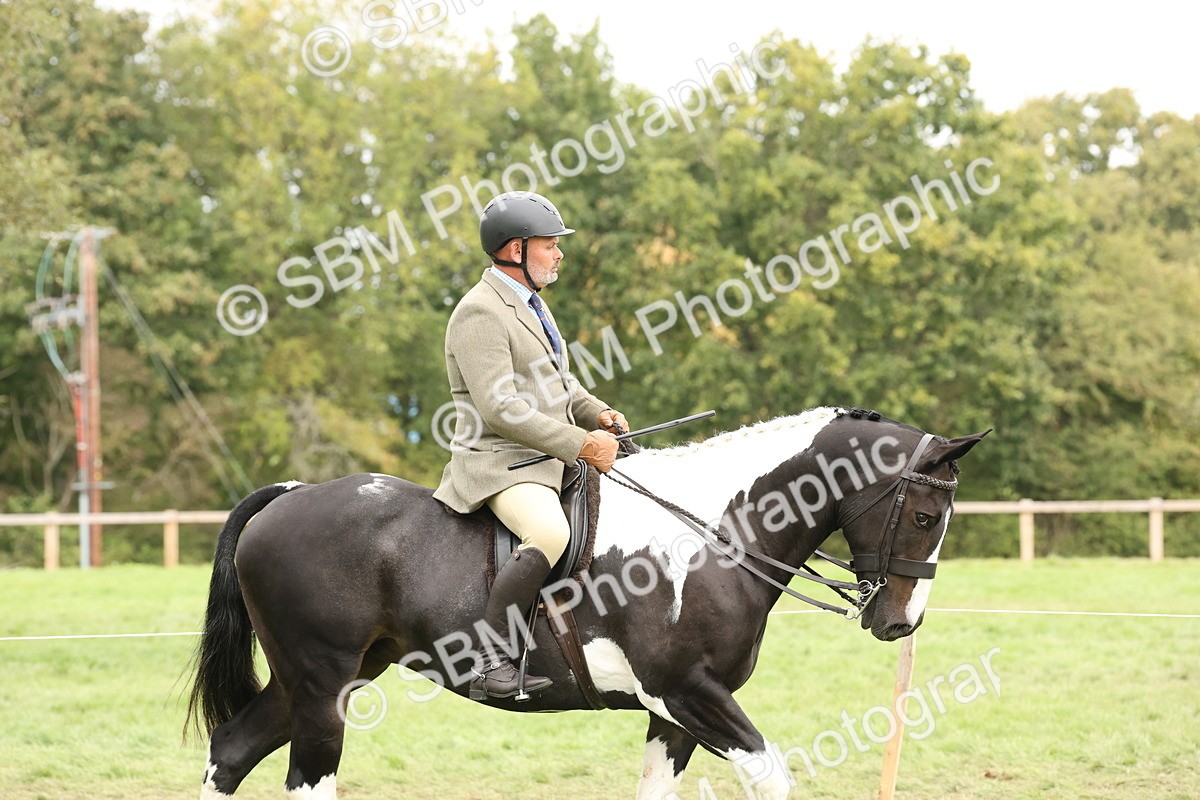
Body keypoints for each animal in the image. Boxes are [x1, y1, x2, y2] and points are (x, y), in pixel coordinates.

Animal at [185, 406, 988, 799]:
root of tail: (287, 497)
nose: (899, 622)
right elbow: (771, 777)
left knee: (230, 752)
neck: (713, 532)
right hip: (323, 686)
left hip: (324, 680)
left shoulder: (677, 714)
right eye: (925, 516)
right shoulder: (688, 692)